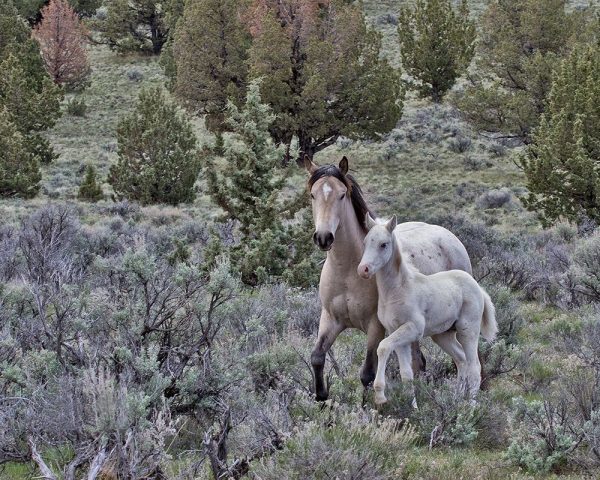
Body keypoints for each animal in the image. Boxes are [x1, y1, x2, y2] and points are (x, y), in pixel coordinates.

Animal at [356, 216, 496, 406]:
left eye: (383, 244)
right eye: (365, 242)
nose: (363, 269)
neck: (398, 290)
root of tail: (478, 287)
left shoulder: (413, 329)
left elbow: (383, 347)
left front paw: (380, 395)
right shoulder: (396, 332)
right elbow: (406, 374)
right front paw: (413, 407)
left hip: (468, 331)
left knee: (474, 367)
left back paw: (470, 407)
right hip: (443, 335)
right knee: (461, 359)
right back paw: (456, 400)